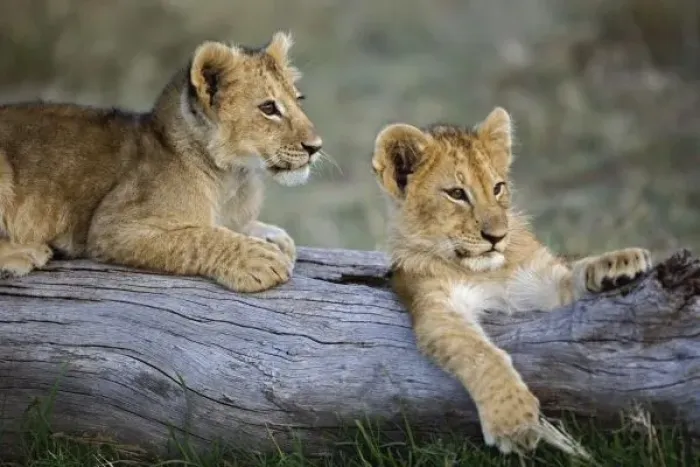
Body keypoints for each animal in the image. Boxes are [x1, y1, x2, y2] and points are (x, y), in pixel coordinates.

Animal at [0, 31, 322, 293]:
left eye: (298, 100)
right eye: (268, 108)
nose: (315, 147)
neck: (235, 177)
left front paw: (273, 237)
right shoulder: (113, 227)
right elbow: (199, 237)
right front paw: (258, 258)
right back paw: (23, 254)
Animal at [371, 107, 652, 457]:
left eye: (497, 188)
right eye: (456, 194)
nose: (497, 236)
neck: (484, 270)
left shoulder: (535, 282)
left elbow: (572, 273)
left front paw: (619, 263)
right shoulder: (435, 304)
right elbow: (480, 353)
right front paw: (513, 422)